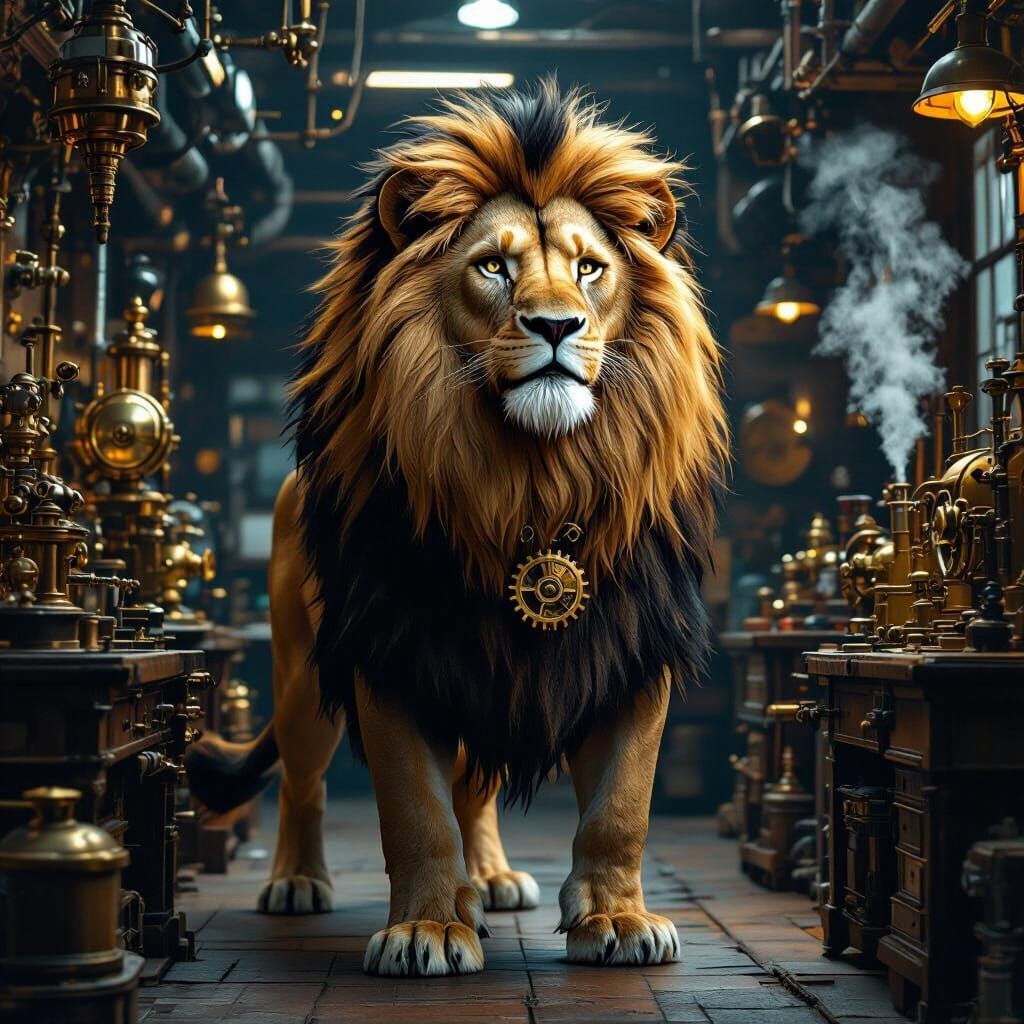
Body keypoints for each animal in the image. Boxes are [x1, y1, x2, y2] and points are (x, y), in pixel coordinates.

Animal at [186, 79, 728, 977]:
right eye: (493, 266)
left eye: (589, 267)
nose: (556, 326)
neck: (528, 480)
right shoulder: (391, 651)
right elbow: (416, 812)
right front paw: (427, 931)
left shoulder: (630, 648)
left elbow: (621, 808)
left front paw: (617, 919)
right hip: (303, 676)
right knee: (301, 782)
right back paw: (297, 883)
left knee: (476, 790)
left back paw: (494, 881)